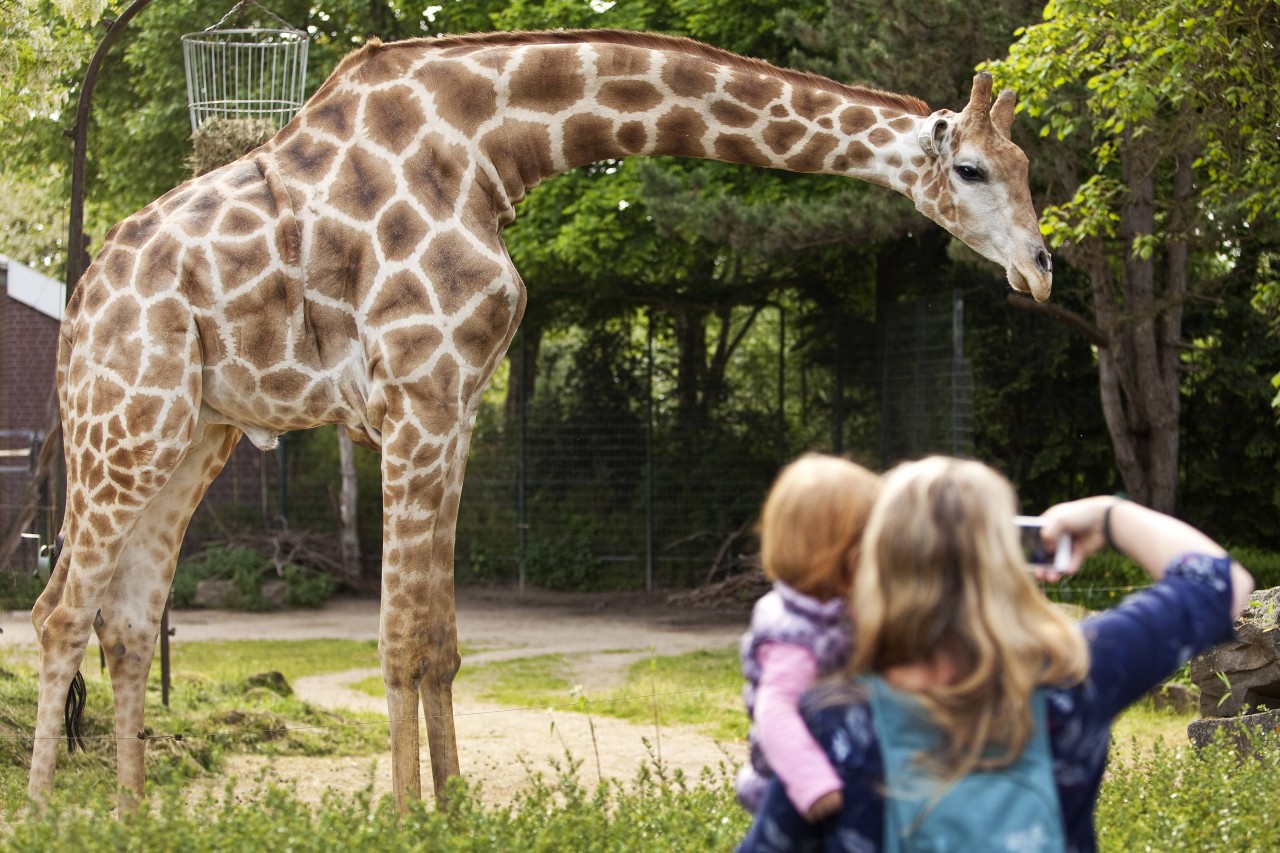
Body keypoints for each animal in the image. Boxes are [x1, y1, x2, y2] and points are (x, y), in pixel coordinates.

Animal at [30, 26, 1054, 809]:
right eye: (971, 169)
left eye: (1027, 165)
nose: (1041, 270)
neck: (491, 145)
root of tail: (79, 308)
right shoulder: (417, 397)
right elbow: (398, 638)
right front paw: (404, 814)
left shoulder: (456, 410)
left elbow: (439, 641)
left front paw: (454, 806)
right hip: (123, 422)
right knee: (58, 610)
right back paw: (44, 808)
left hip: (193, 434)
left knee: (128, 619)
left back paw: (130, 810)